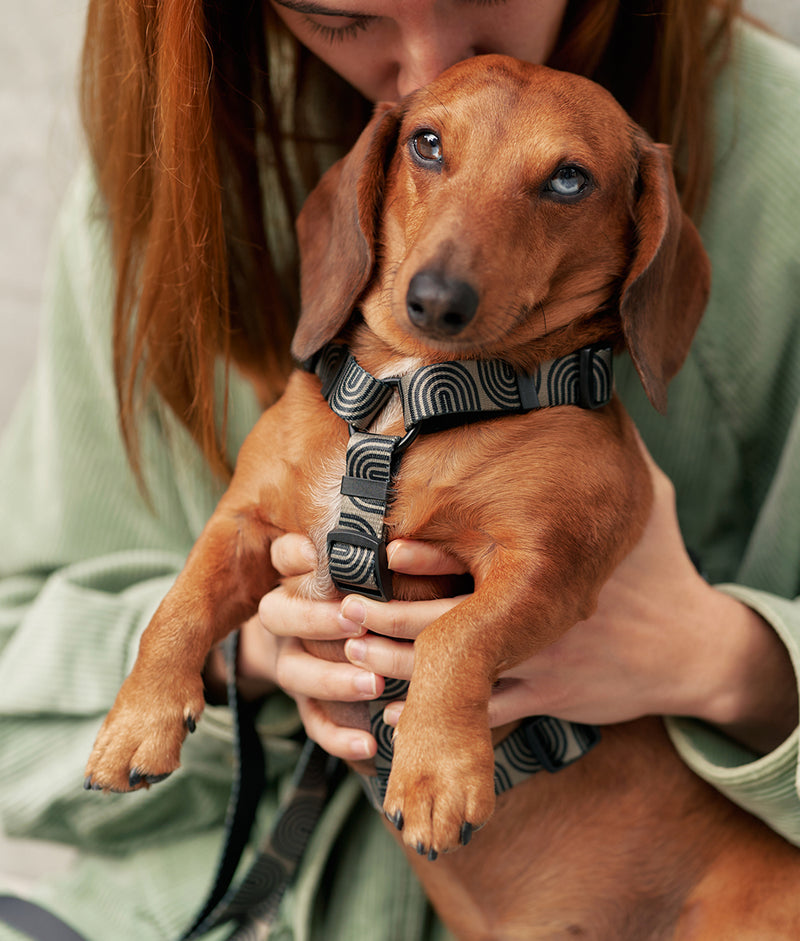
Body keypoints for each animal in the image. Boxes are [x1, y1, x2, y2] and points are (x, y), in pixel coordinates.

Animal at [86, 58, 800, 940]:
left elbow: (455, 636)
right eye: (426, 143)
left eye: (569, 179)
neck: (410, 397)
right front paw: (137, 721)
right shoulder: (244, 522)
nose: (436, 299)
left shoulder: (546, 568)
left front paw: (433, 772)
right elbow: (178, 606)